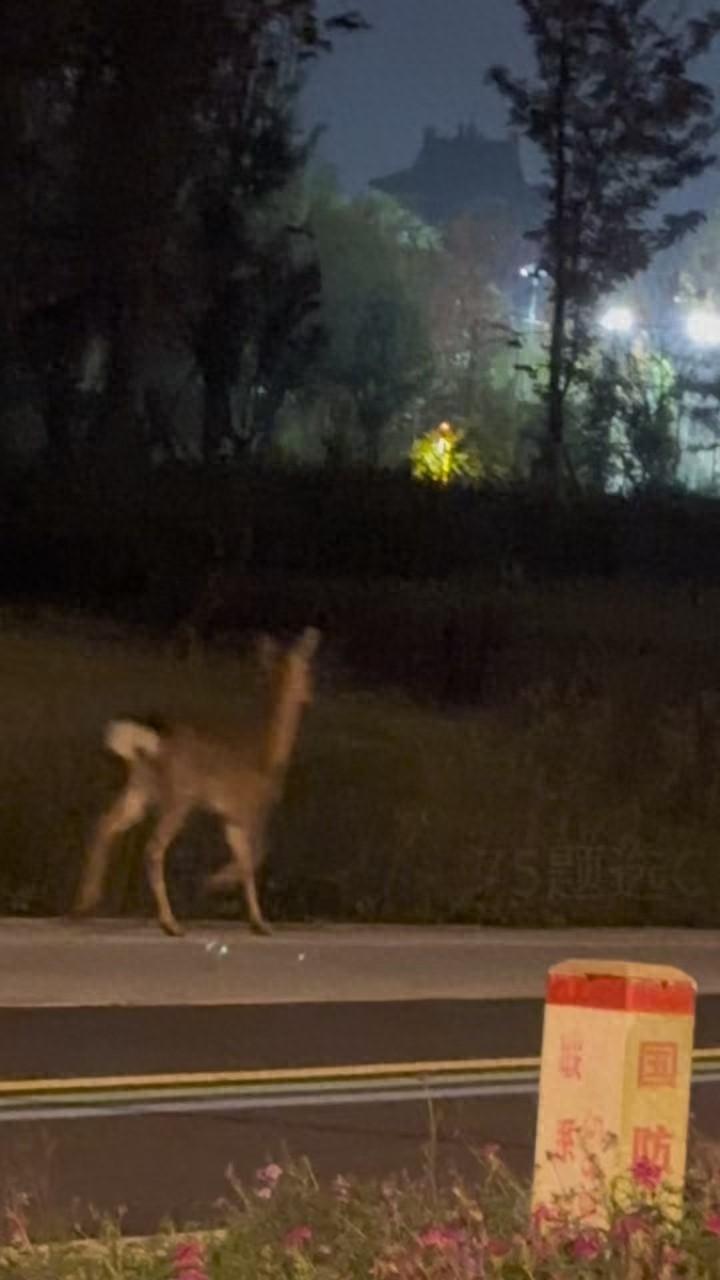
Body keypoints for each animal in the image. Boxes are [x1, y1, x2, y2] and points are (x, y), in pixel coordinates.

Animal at [72, 629, 319, 942]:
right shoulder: (252, 809)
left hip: (140, 788)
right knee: (153, 848)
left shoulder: (230, 817)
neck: (271, 756)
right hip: (179, 797)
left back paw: (85, 903)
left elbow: (247, 861)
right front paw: (213, 885)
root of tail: (148, 742)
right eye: (307, 669)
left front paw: (257, 922)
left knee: (104, 824)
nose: (310, 694)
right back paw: (171, 924)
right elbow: (257, 856)